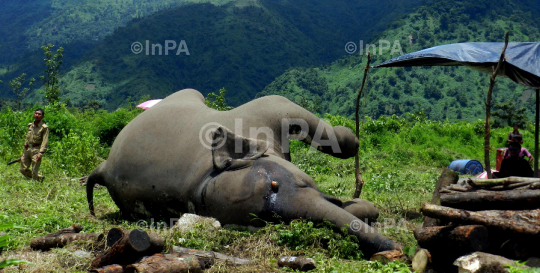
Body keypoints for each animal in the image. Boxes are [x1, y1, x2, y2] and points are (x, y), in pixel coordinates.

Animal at [87, 88, 400, 255]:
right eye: (272, 221)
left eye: (278, 183)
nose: (394, 248)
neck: (205, 174)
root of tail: (103, 167)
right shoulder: (274, 105)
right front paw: (360, 204)